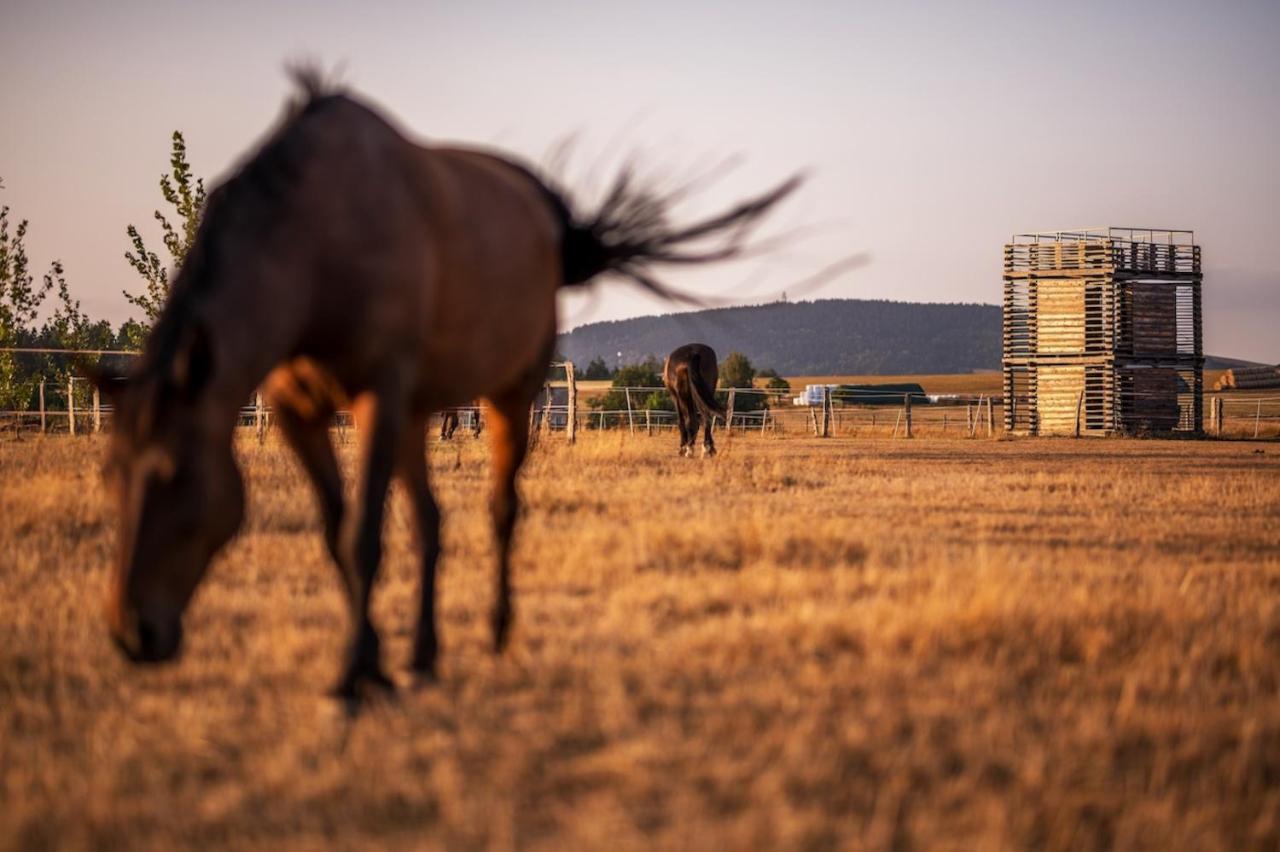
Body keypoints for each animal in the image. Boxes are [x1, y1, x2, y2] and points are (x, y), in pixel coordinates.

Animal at [94, 72, 798, 695]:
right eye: (111, 474)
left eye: (174, 475)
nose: (133, 633)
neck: (319, 247)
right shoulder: (303, 410)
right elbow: (342, 532)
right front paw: (372, 661)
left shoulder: (379, 398)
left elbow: (364, 534)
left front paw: (355, 675)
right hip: (419, 411)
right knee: (433, 518)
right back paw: (425, 652)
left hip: (507, 395)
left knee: (503, 507)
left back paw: (496, 629)